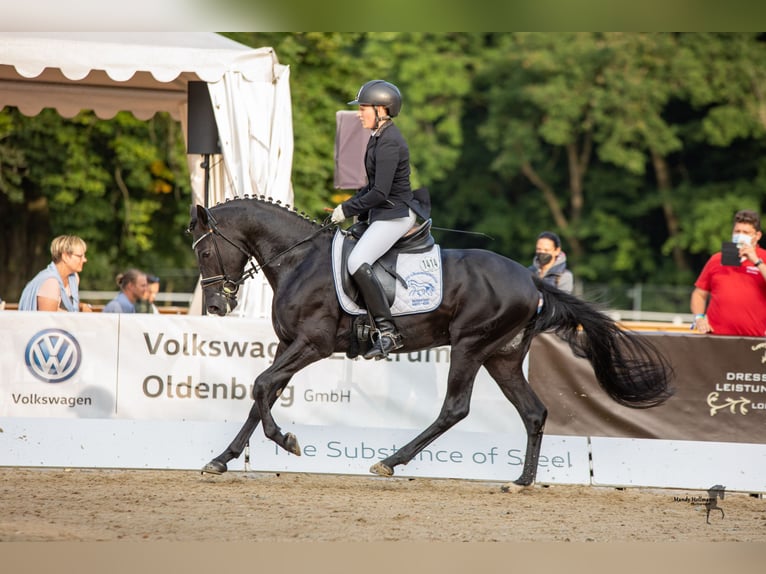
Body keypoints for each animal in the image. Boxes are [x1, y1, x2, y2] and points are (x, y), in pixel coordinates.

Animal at [189, 197, 676, 490]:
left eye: (205, 252)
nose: (215, 306)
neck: (300, 260)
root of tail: (531, 278)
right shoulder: (288, 345)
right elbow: (263, 394)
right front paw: (222, 458)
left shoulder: (312, 344)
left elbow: (260, 387)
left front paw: (287, 441)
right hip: (501, 357)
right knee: (533, 411)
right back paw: (521, 480)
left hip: (470, 347)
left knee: (454, 409)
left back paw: (390, 461)